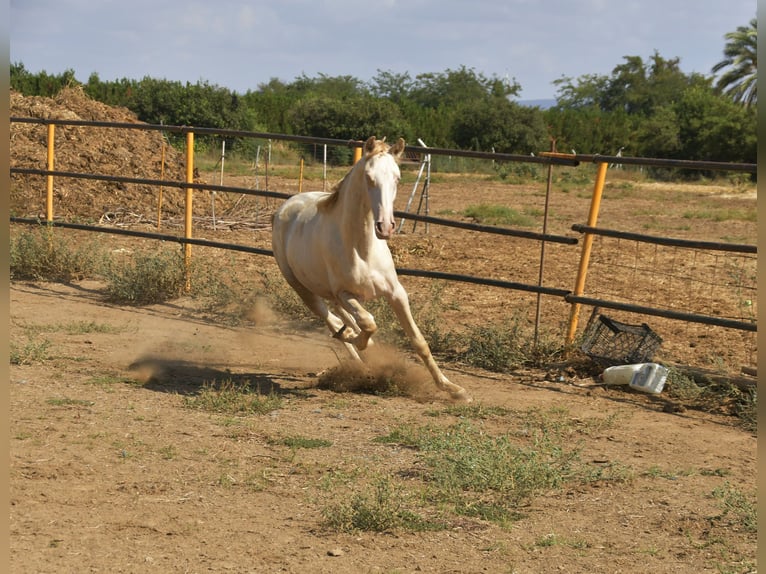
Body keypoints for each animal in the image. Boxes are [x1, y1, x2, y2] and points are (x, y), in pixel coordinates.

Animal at [270, 137, 474, 402]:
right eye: (369, 177)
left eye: (397, 178)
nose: (385, 227)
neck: (362, 249)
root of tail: (284, 207)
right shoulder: (346, 293)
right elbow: (368, 323)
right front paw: (357, 339)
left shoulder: (396, 293)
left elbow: (418, 340)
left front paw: (453, 389)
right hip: (303, 289)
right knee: (331, 320)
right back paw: (352, 347)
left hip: (328, 292)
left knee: (339, 318)